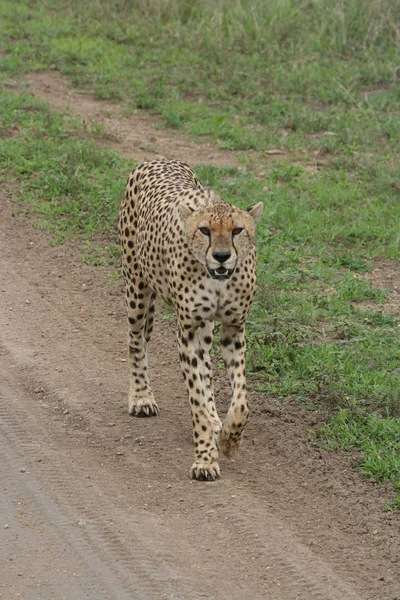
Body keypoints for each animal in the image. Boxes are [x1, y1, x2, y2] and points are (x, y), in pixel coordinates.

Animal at [119, 159, 262, 482]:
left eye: (237, 230)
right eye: (204, 230)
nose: (221, 256)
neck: (217, 281)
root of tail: (156, 159)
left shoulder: (234, 329)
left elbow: (241, 401)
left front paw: (229, 439)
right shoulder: (186, 331)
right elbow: (195, 400)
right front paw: (206, 460)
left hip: (206, 328)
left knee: (206, 366)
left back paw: (216, 418)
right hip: (138, 288)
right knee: (136, 342)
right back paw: (141, 397)